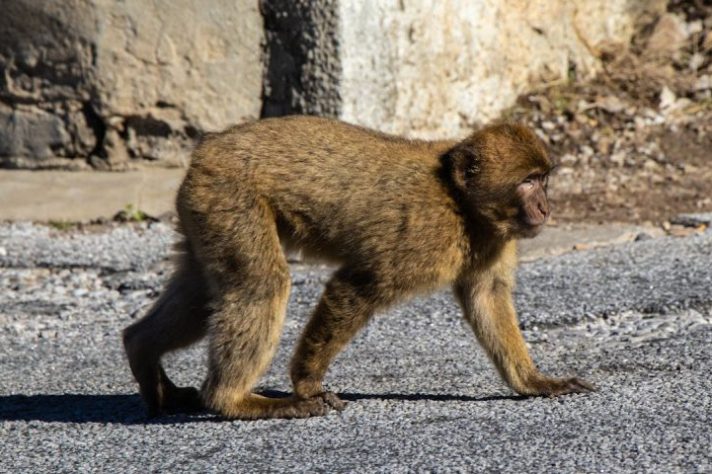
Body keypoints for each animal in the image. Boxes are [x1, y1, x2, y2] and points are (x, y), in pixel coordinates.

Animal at [122, 116, 594, 419]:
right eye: (528, 182)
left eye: (543, 179)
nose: (545, 207)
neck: (461, 202)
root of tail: (206, 148)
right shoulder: (423, 234)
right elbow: (357, 285)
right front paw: (306, 383)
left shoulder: (493, 240)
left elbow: (486, 297)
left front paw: (533, 382)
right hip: (228, 195)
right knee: (262, 285)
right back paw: (232, 402)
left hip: (205, 207)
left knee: (202, 292)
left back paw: (140, 348)